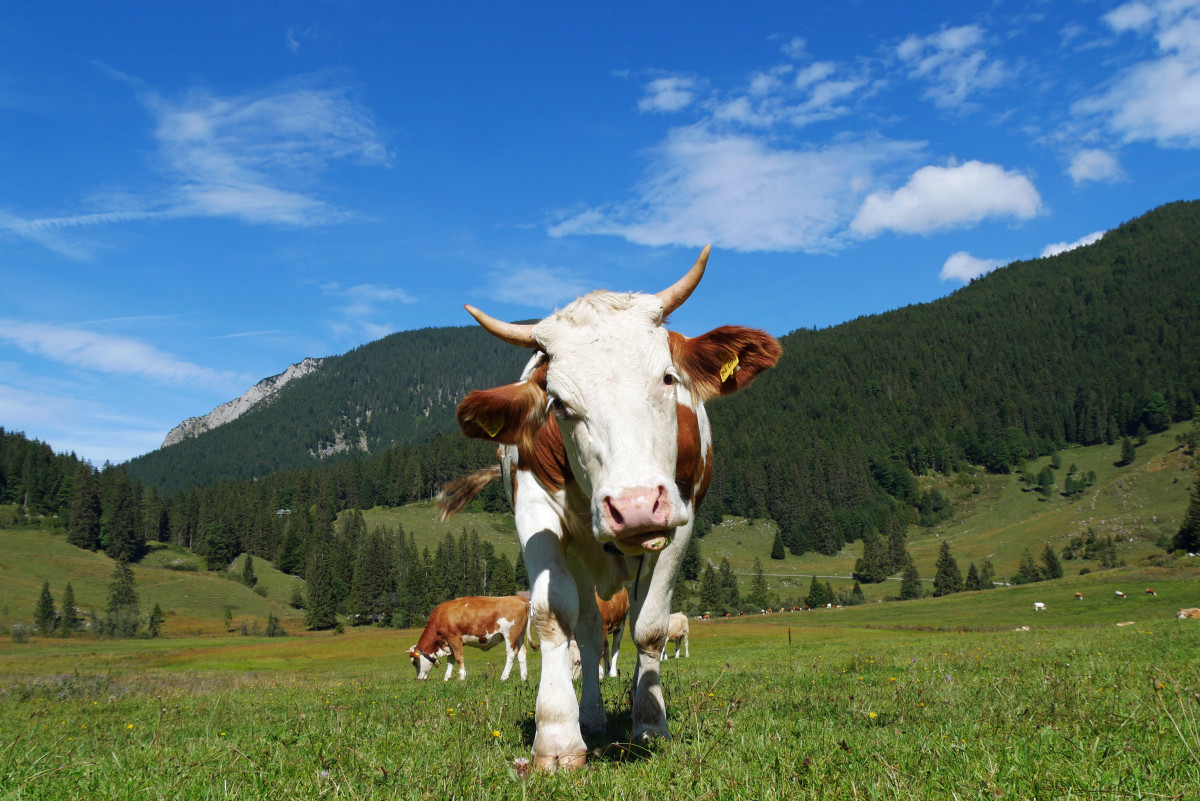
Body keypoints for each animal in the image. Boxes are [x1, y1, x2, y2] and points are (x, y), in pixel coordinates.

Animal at [436, 245, 782, 767]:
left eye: (668, 378)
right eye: (558, 402)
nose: (635, 506)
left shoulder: (680, 518)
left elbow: (651, 627)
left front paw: (650, 722)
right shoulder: (534, 511)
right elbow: (554, 614)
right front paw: (557, 737)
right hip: (581, 554)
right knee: (590, 631)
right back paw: (592, 717)